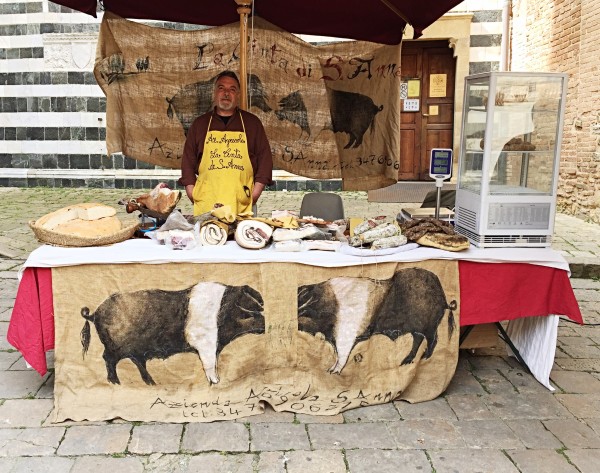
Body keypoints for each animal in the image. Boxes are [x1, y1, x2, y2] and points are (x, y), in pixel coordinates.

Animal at [81, 280, 264, 384]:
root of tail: (95, 313)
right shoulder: (205, 344)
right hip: (115, 349)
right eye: (248, 313)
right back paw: (116, 383)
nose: (263, 323)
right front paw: (215, 382)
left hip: (131, 350)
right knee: (109, 360)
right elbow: (210, 364)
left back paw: (151, 383)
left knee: (137, 362)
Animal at [298, 268, 458, 374]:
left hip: (429, 327)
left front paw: (333, 371)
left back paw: (424, 359)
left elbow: (341, 354)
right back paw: (405, 362)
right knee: (417, 341)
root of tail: (443, 299)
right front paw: (330, 370)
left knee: (432, 340)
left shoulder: (345, 334)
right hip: (417, 329)